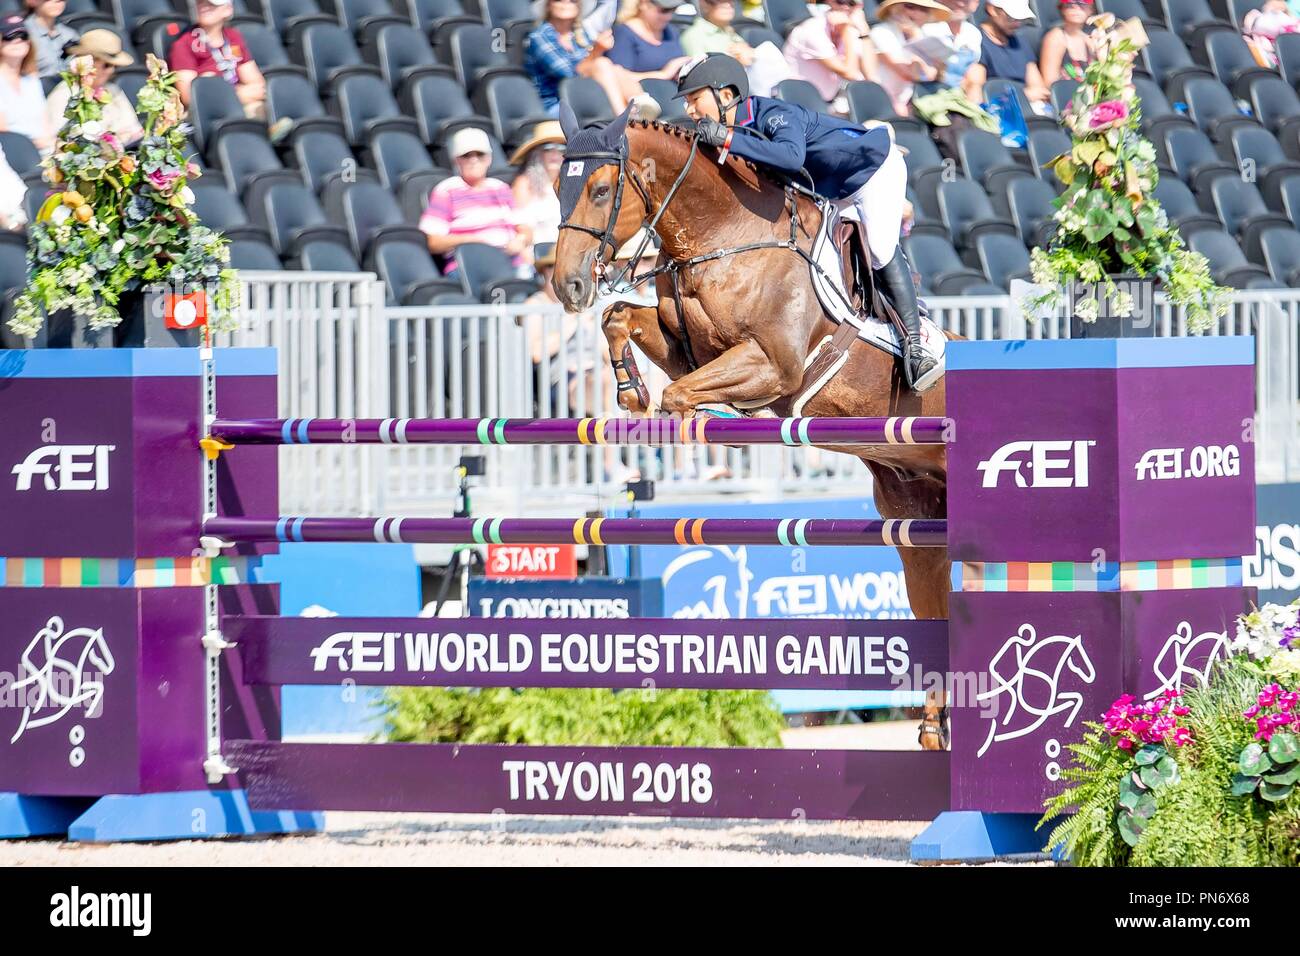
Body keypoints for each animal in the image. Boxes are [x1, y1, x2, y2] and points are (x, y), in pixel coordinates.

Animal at [553, 110, 951, 749]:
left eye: (599, 189)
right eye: (557, 188)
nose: (567, 286)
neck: (721, 235)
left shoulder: (773, 366)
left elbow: (680, 396)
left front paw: (698, 424)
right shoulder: (686, 350)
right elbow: (620, 320)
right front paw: (630, 390)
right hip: (915, 525)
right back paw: (936, 729)